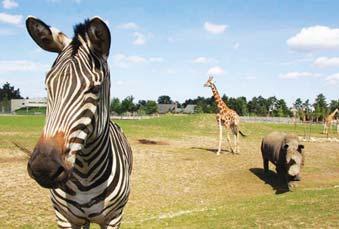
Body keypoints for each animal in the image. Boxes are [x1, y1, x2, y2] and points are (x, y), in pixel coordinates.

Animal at [25, 17, 133, 228]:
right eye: (47, 86)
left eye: (95, 88)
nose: (43, 168)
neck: (85, 172)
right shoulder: (64, 217)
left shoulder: (114, 218)